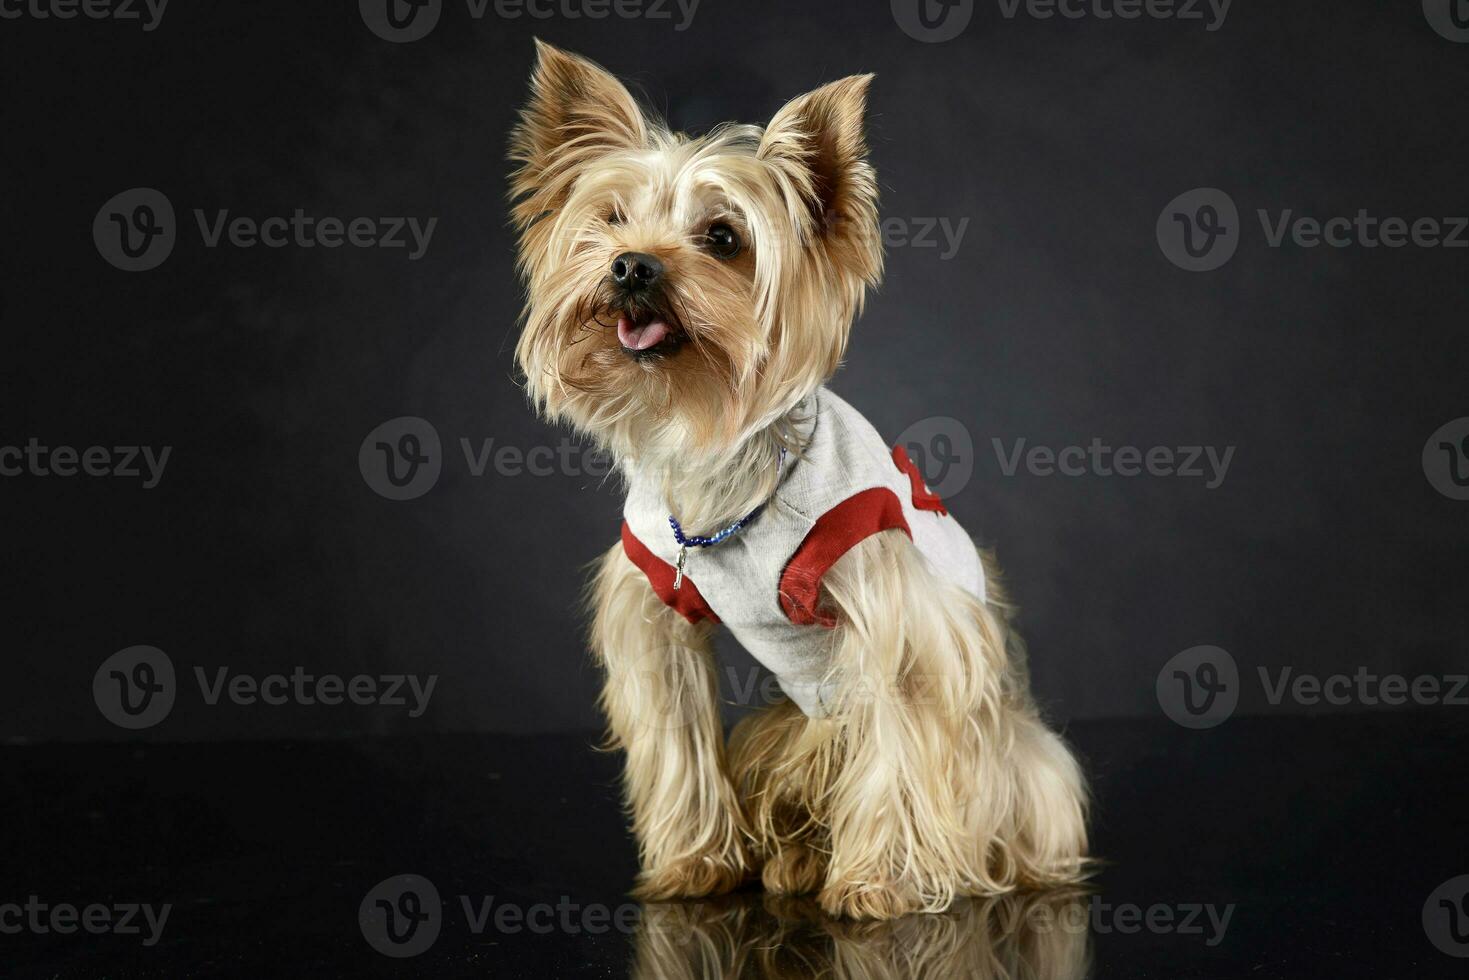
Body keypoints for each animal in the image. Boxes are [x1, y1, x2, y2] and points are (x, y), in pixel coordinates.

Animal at [511, 42, 1087, 922]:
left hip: (1014, 764)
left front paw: (880, 882)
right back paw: (790, 861)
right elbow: (677, 732)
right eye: (609, 219)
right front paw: (695, 863)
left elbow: (898, 736)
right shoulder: (656, 614)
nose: (631, 265)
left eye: (722, 237)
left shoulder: (892, 616)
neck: (714, 447)